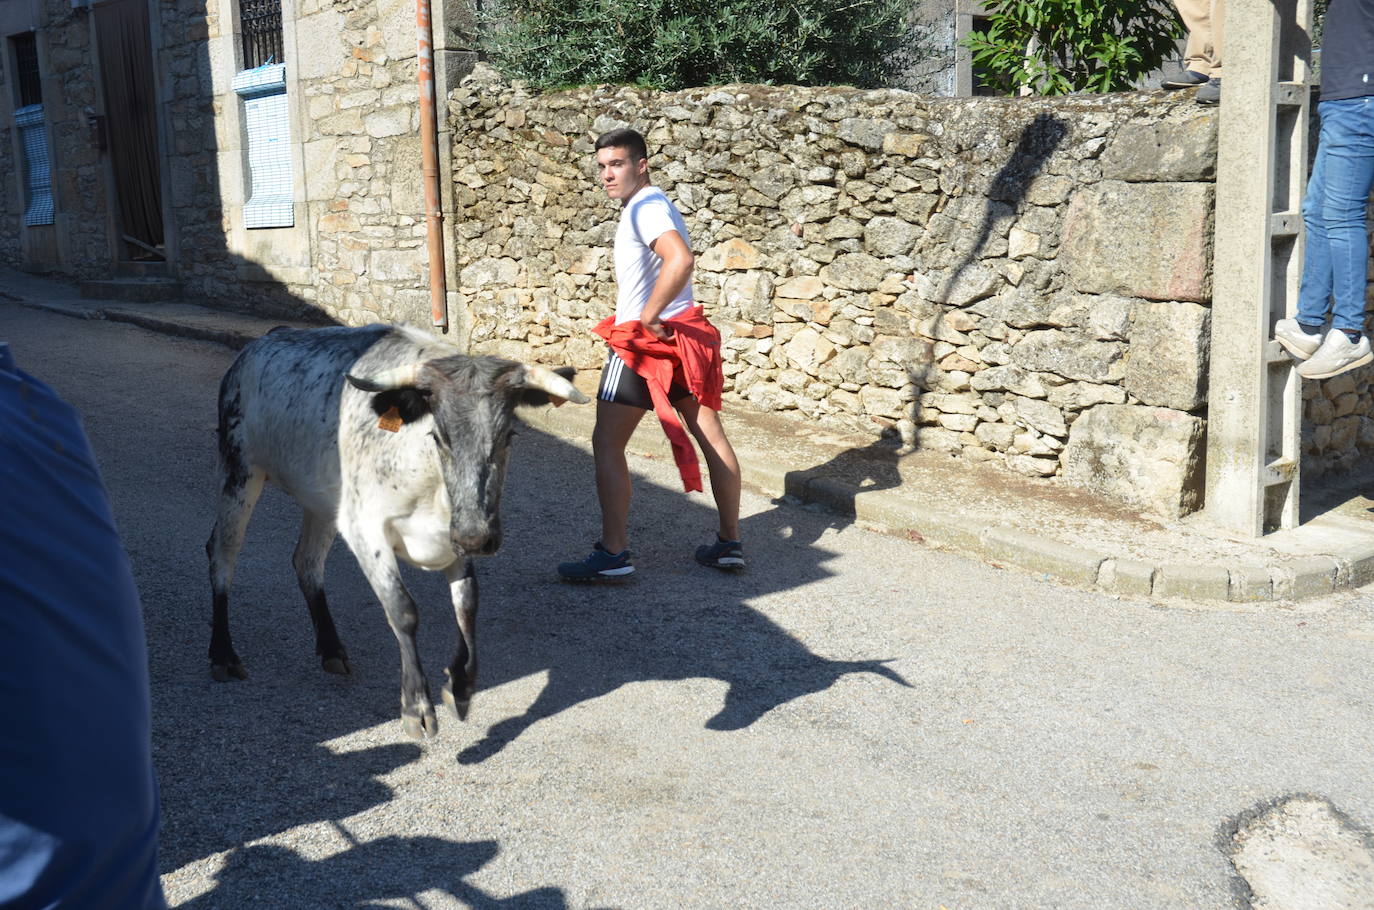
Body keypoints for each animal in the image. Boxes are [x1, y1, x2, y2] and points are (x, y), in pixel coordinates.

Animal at [207, 328, 585, 742]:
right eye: (439, 436)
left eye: (509, 435)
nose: (477, 538)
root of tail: (259, 345)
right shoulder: (366, 529)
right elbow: (402, 609)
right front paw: (417, 707)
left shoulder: (456, 533)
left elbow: (467, 604)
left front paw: (460, 687)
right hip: (240, 472)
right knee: (222, 553)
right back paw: (223, 655)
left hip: (323, 501)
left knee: (306, 562)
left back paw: (331, 649)